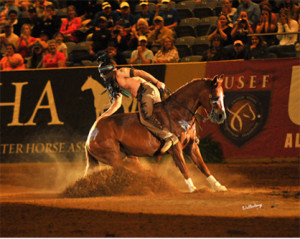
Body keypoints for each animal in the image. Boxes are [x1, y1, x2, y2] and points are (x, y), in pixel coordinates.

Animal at [84, 74, 227, 192]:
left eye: (223, 96)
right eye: (215, 97)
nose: (221, 116)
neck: (177, 113)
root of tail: (95, 127)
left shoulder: (192, 146)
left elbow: (203, 166)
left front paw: (218, 186)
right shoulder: (176, 148)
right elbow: (183, 167)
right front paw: (192, 188)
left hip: (129, 158)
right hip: (113, 157)